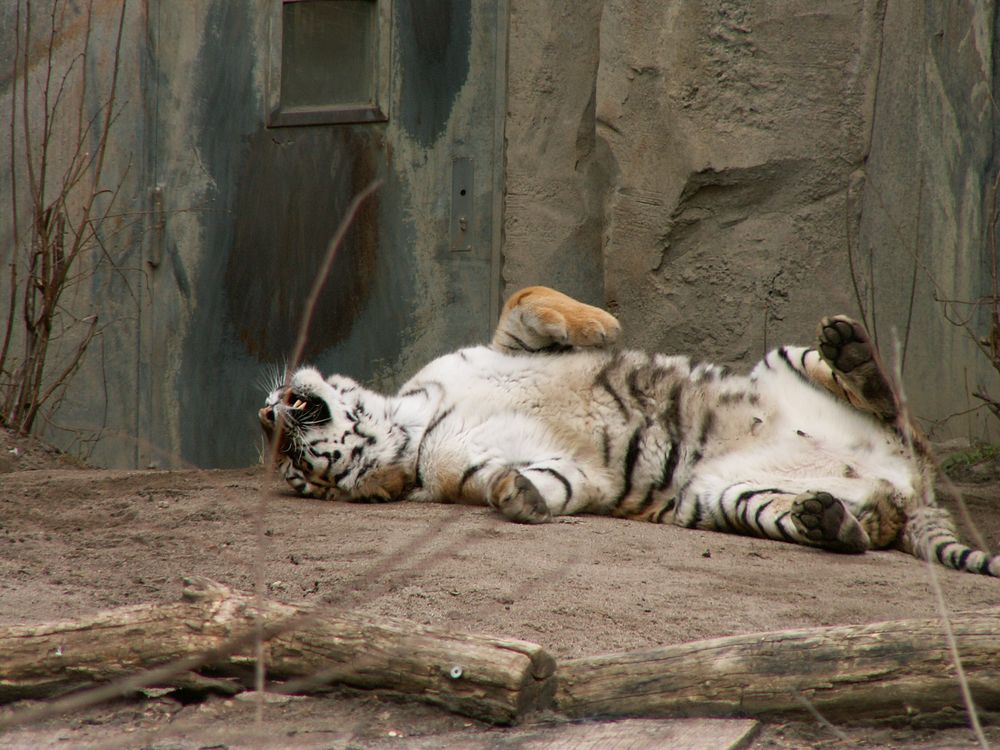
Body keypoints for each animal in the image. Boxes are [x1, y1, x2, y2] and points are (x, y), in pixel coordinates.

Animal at [260, 284, 1000, 580]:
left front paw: (598, 326)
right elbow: (528, 480)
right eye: (298, 472)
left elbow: (526, 300)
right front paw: (515, 494)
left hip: (783, 361)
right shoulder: (553, 471)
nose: (266, 413)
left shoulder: (498, 348)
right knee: (856, 527)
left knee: (888, 402)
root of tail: (915, 493)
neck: (415, 426)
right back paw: (828, 519)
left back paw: (850, 350)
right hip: (726, 496)